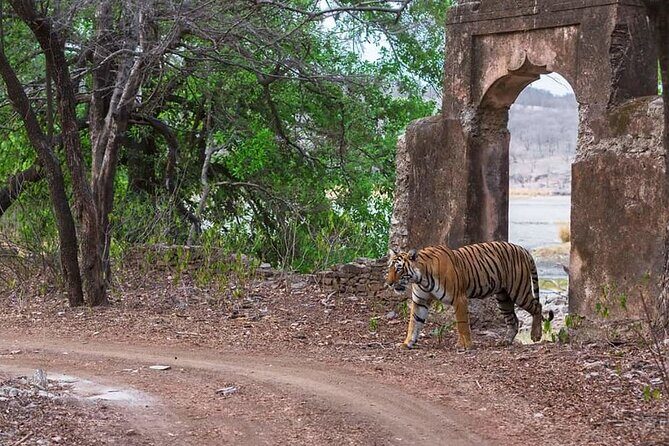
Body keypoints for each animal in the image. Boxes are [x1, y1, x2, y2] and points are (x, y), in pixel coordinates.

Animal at [385, 241, 554, 349]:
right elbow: (414, 323)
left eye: (399, 269)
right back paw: (505, 341)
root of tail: (522, 248)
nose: (389, 283)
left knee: (537, 307)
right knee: (514, 320)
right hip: (503, 298)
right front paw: (407, 343)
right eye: (390, 268)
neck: (421, 278)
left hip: (519, 291)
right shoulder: (420, 301)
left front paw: (464, 345)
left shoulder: (459, 299)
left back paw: (536, 335)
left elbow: (462, 324)